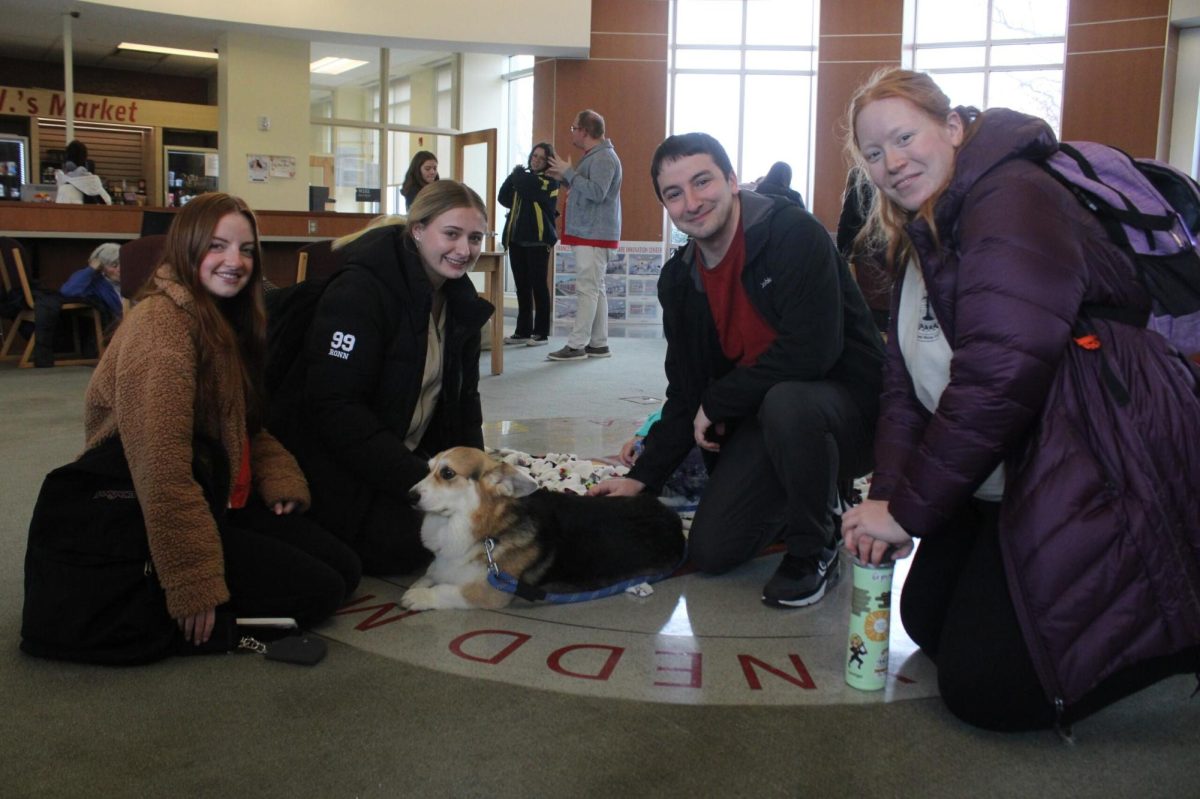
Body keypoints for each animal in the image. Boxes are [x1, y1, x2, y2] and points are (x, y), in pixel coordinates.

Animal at [400, 443, 686, 607]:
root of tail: (671, 516)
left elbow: (448, 590)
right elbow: (431, 574)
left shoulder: (490, 591)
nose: (409, 496)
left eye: (447, 473)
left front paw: (417, 597)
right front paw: (420, 584)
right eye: (428, 469)